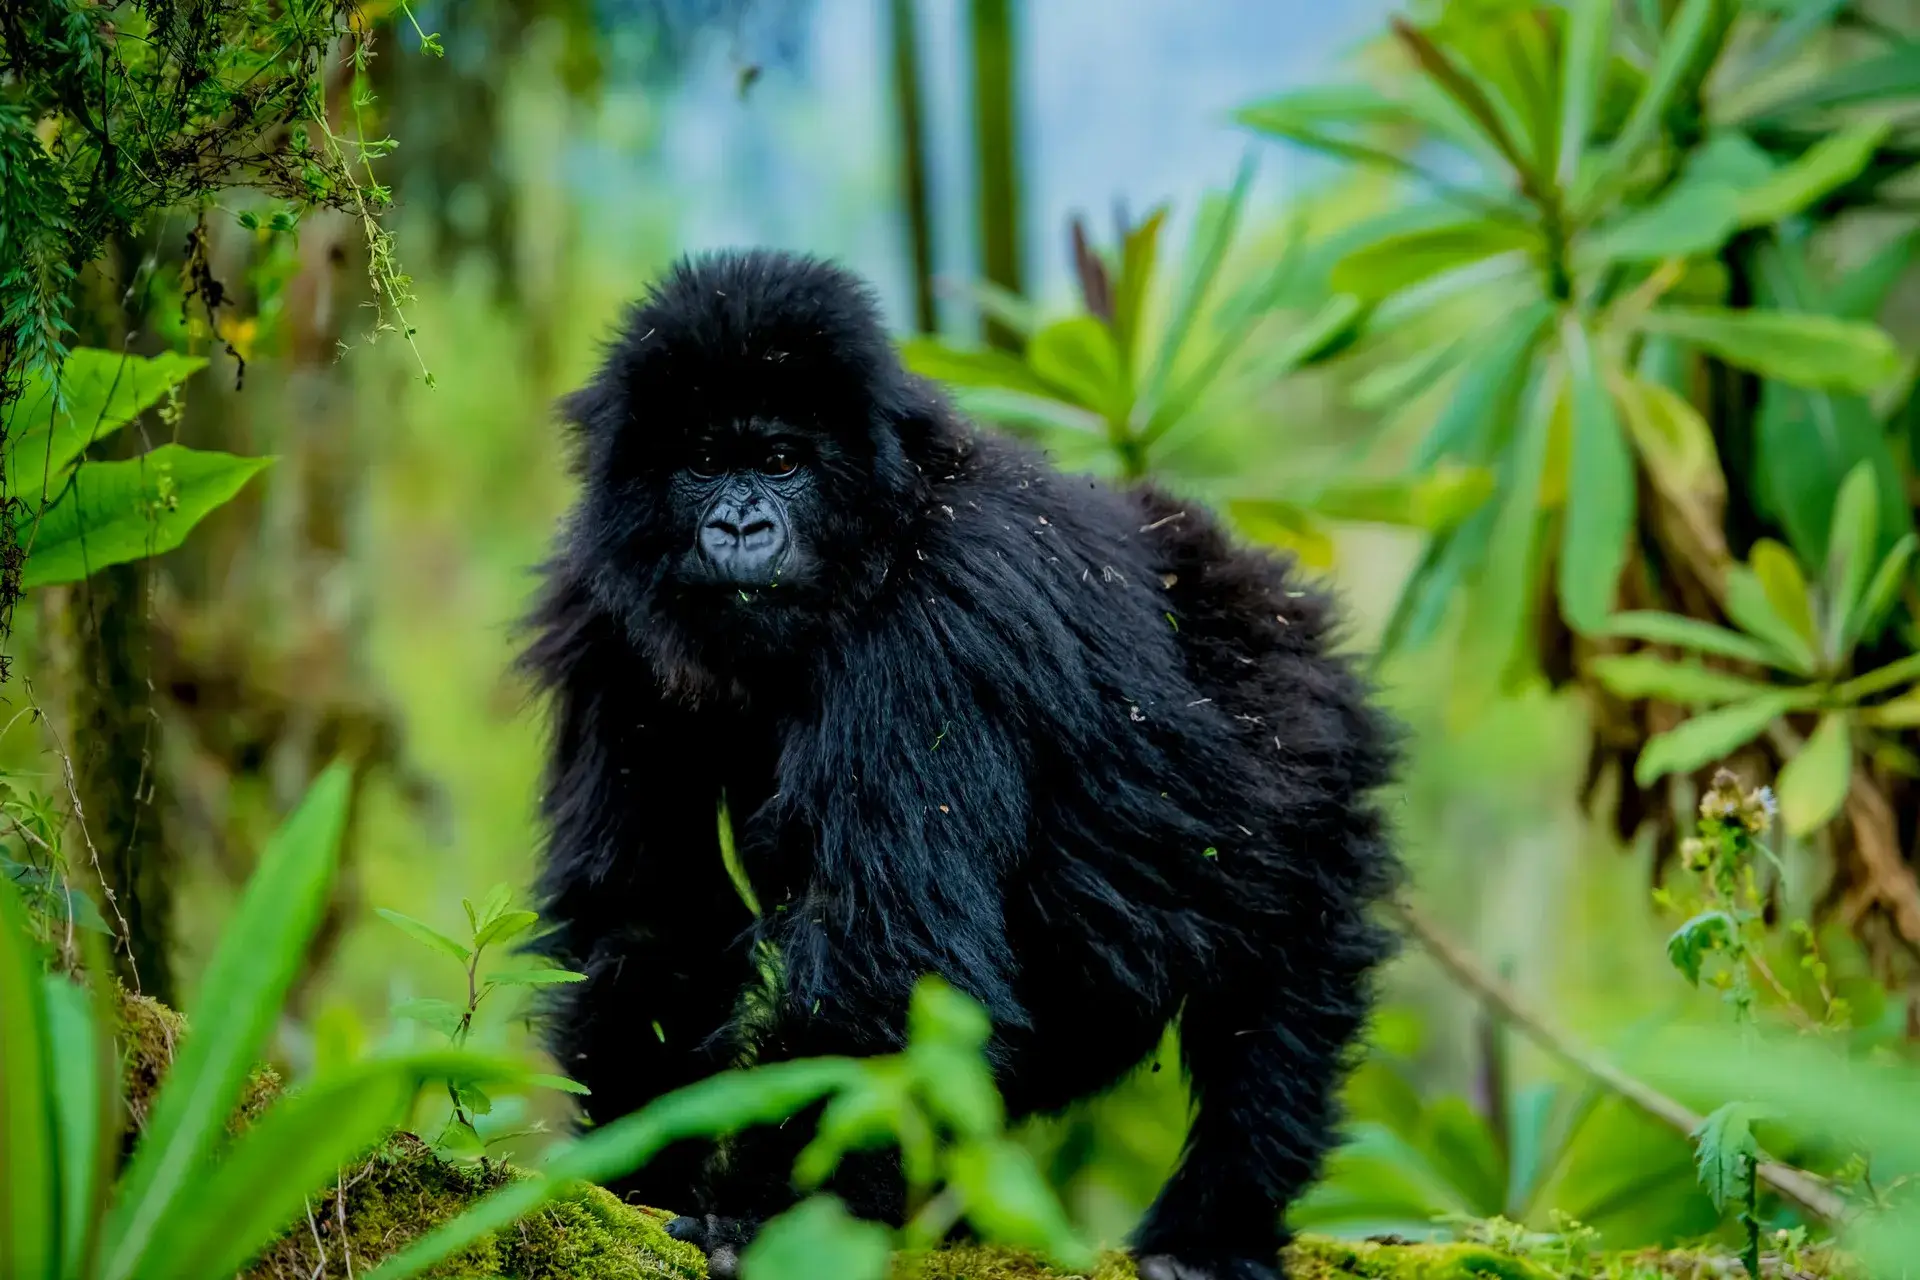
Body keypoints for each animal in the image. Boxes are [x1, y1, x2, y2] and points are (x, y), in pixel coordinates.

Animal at [521, 248, 1400, 1280]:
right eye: (704, 462)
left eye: (780, 462)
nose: (740, 530)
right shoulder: (600, 611)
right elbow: (649, 912)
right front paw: (644, 1170)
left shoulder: (935, 621)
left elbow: (886, 958)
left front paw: (766, 1217)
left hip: (1307, 748)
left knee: (1278, 997)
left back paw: (1214, 1227)